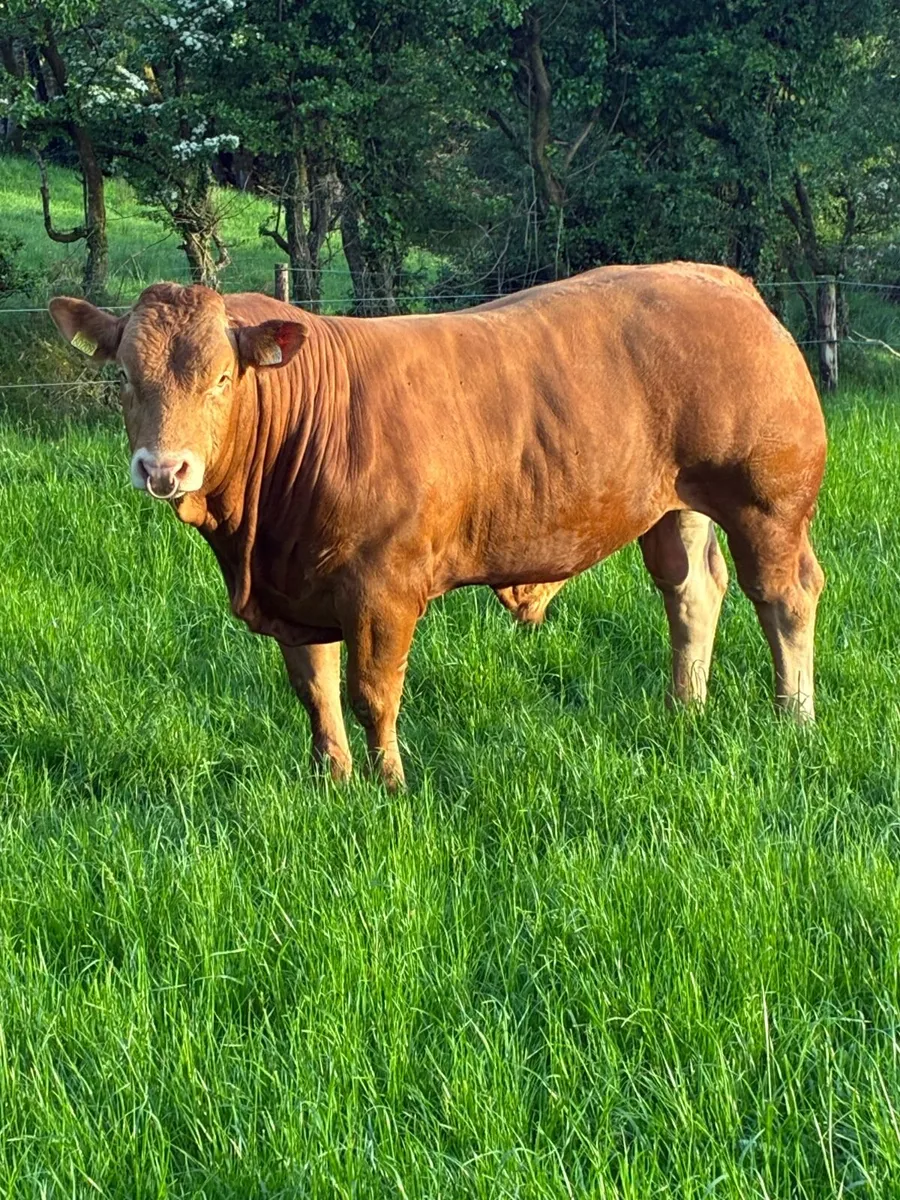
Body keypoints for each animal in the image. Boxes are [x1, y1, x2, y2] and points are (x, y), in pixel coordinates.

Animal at [49, 262, 826, 789]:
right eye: (125, 376)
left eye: (220, 380)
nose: (164, 468)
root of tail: (723, 280)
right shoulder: (297, 592)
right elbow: (316, 692)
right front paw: (332, 782)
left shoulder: (382, 590)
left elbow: (371, 693)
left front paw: (391, 787)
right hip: (675, 505)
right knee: (691, 593)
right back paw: (684, 709)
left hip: (767, 501)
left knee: (784, 598)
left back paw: (794, 717)